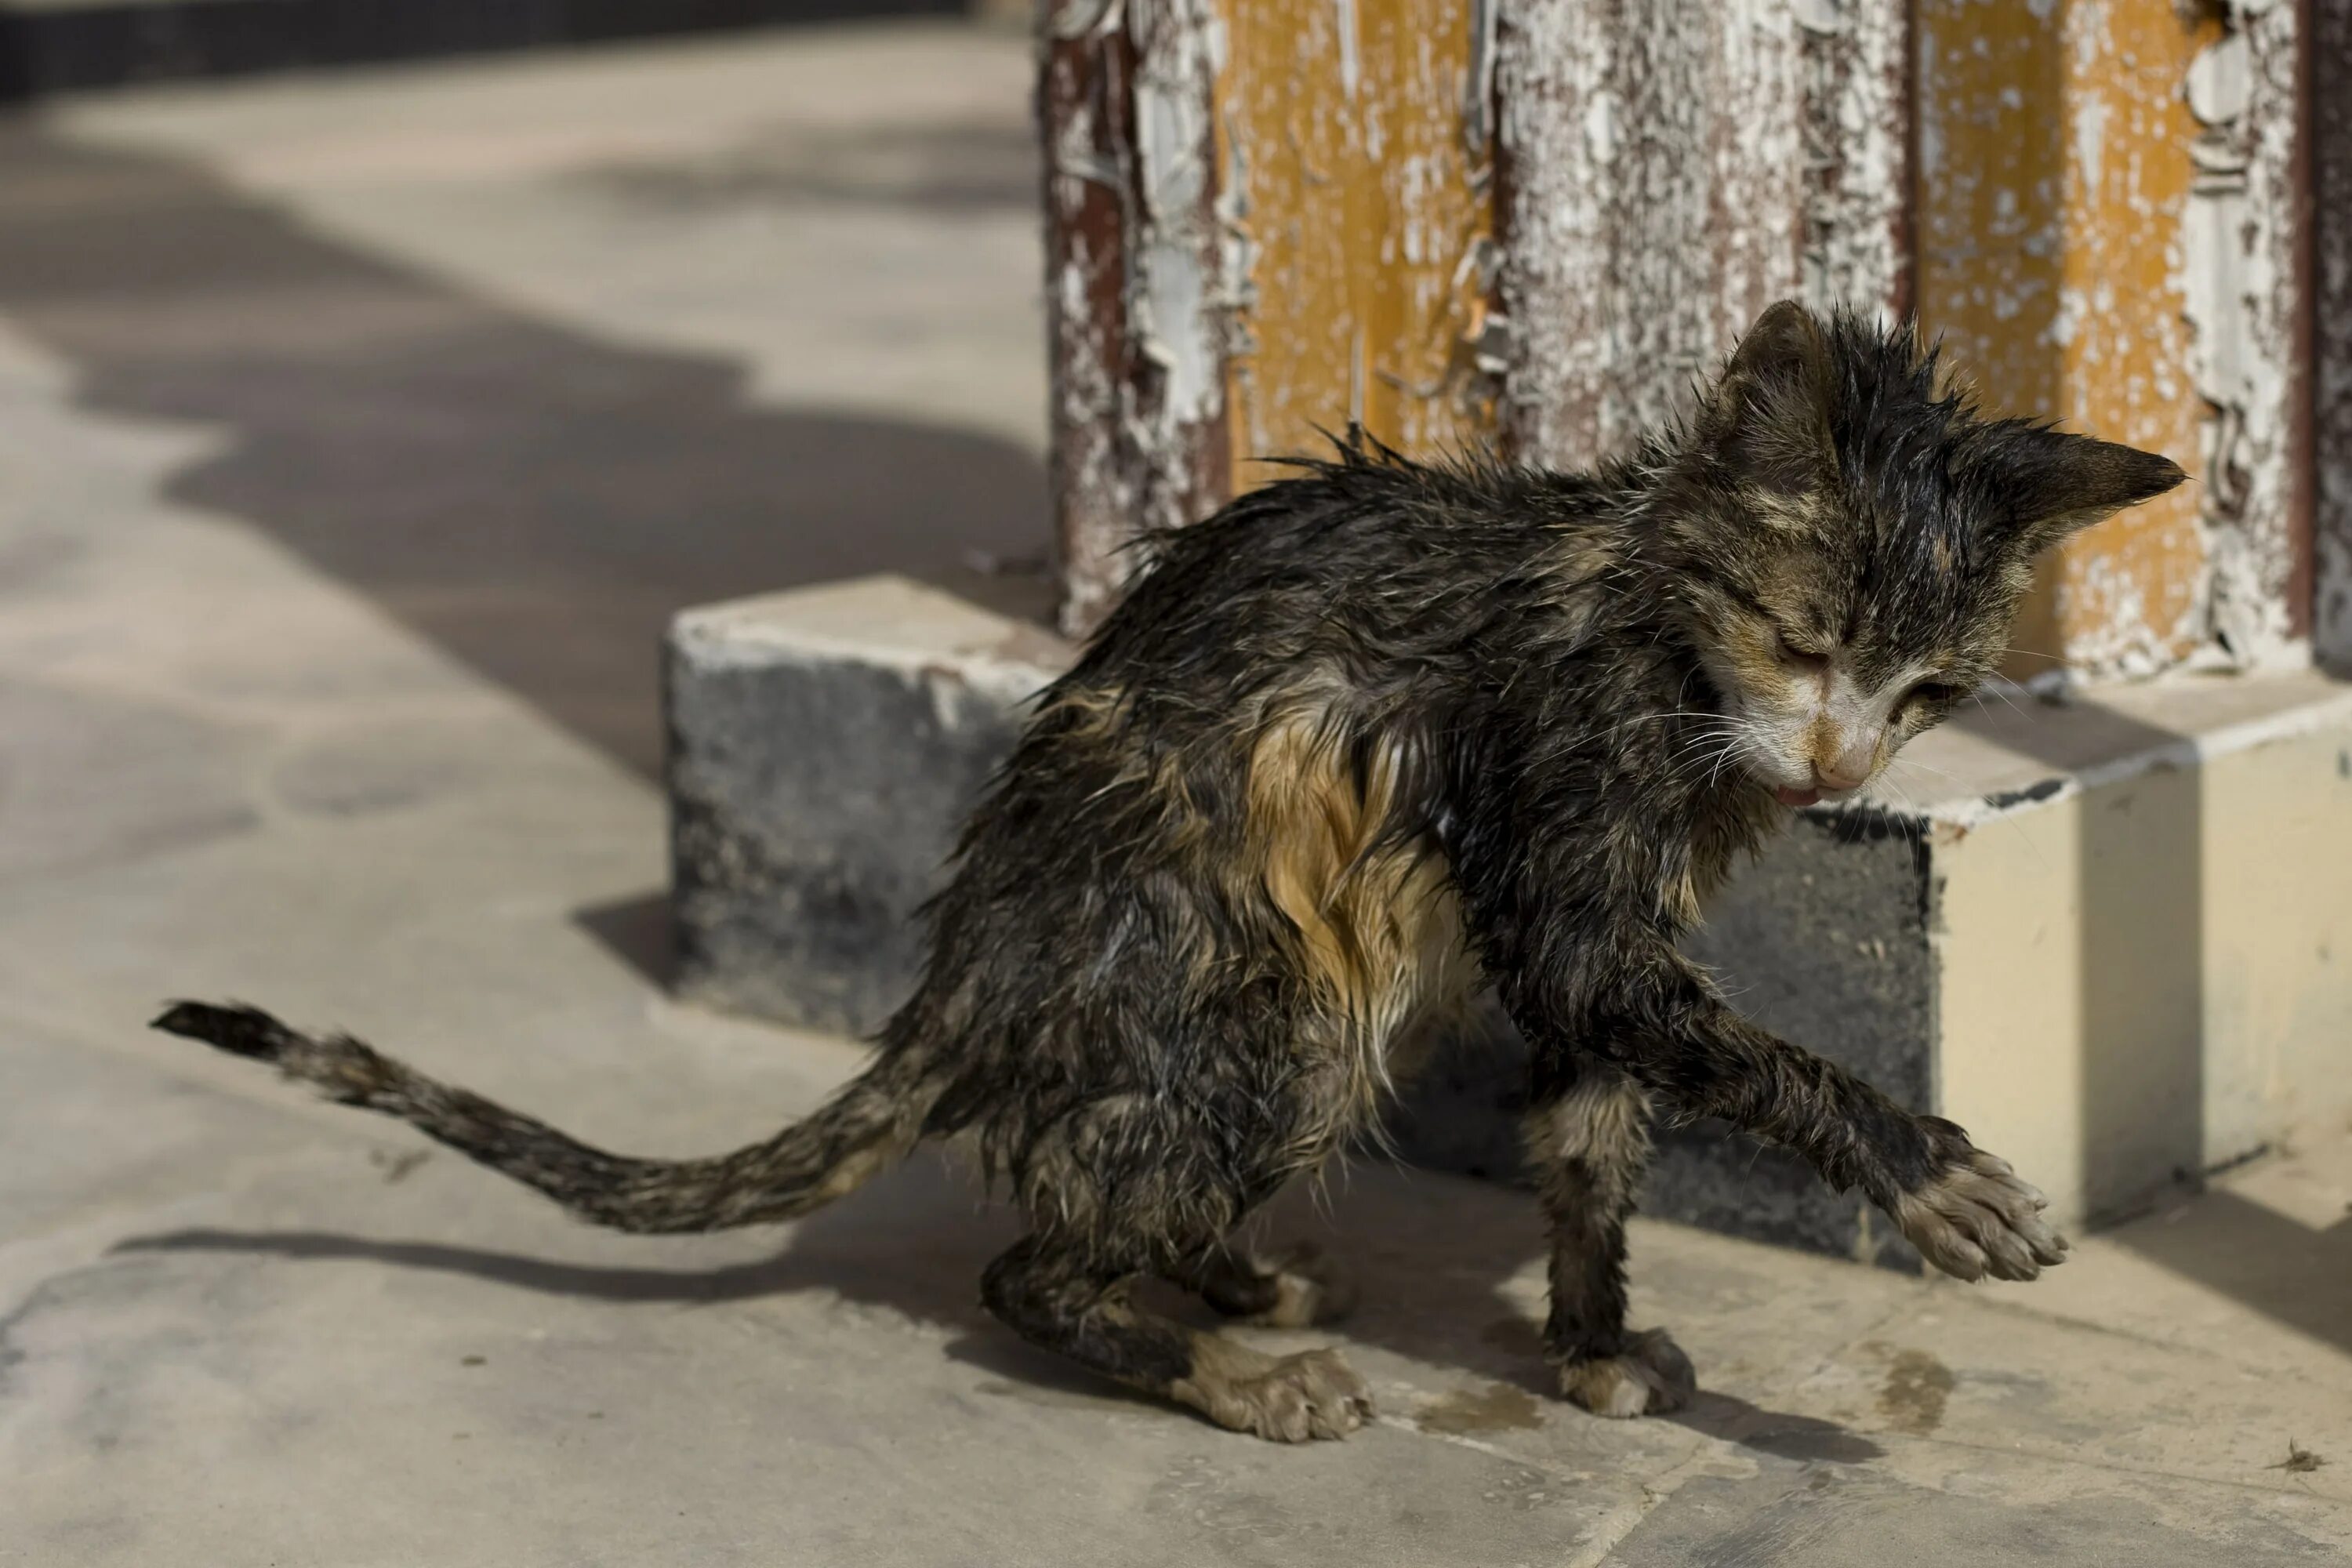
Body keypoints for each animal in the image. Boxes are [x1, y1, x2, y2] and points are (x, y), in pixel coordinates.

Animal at [161, 305, 2183, 1448]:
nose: (1842, 767)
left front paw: (1593, 1343)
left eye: (1930, 693)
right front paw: (1940, 1179)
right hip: (1253, 970)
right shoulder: (1557, 818)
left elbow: (1592, 1129)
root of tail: (971, 969)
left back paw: (1226, 1280)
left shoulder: (1596, 937)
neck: (1654, 639)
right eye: (1805, 634)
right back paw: (1208, 1360)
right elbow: (1731, 1048)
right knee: (1033, 1255)